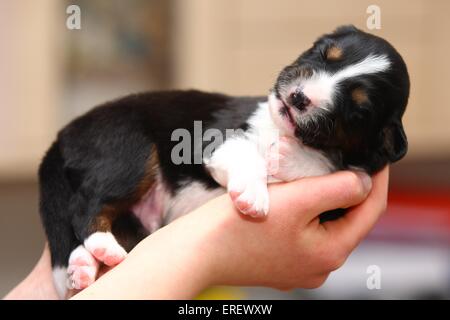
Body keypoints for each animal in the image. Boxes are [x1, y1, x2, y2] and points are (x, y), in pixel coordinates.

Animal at [40, 25, 410, 298]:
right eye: (323, 53)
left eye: (358, 109)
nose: (299, 97)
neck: (279, 126)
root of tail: (60, 138)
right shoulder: (215, 141)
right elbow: (248, 156)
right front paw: (254, 194)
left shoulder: (341, 198)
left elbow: (325, 164)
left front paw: (288, 157)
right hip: (130, 150)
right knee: (83, 207)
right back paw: (99, 249)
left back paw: (84, 266)